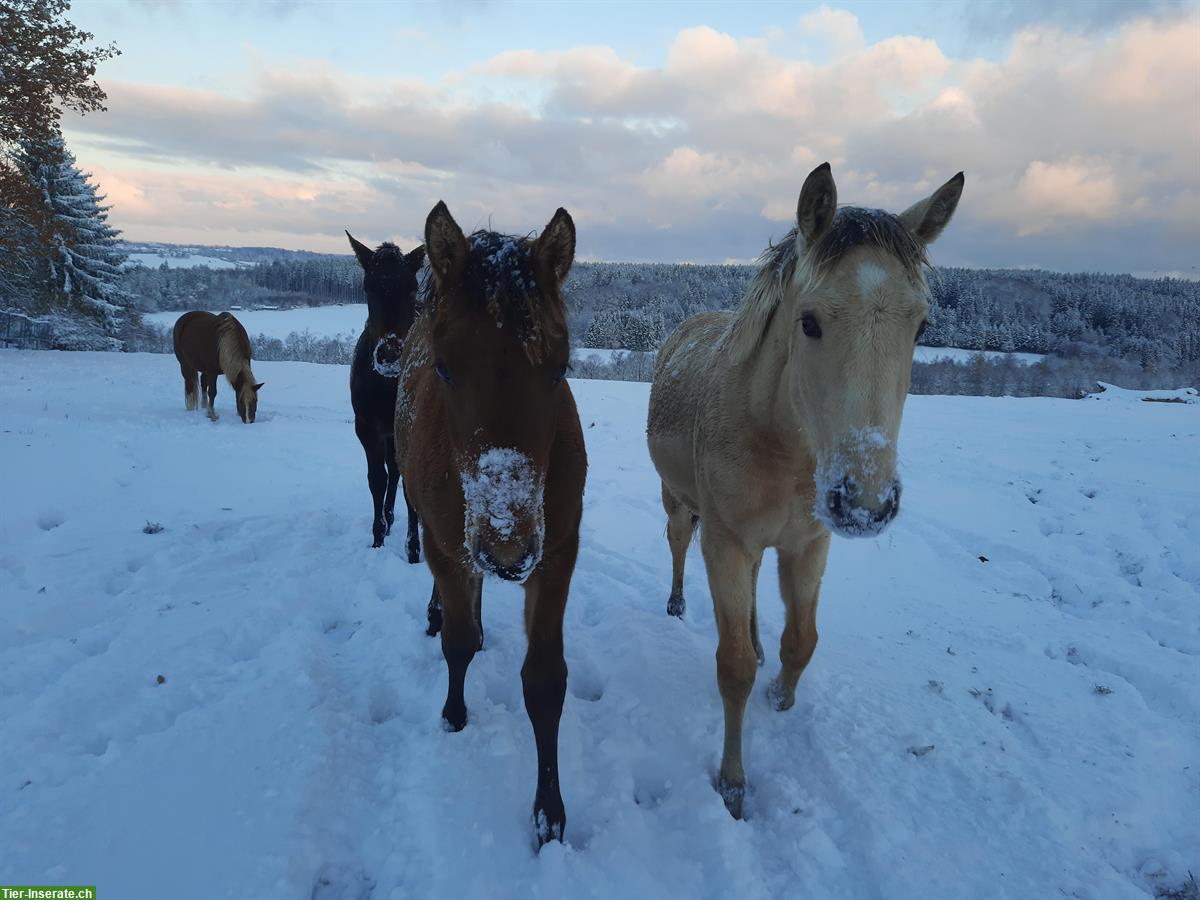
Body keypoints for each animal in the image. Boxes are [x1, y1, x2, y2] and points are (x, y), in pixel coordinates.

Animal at [396, 200, 588, 849]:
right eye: (446, 369)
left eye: (560, 368)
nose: (506, 548)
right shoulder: (446, 546)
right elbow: (456, 642)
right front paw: (454, 715)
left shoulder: (555, 556)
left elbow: (546, 683)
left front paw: (550, 812)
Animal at [648, 160, 964, 816]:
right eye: (810, 320)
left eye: (922, 325)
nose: (866, 504)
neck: (782, 445)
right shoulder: (726, 544)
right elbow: (733, 668)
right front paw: (733, 785)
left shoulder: (808, 545)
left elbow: (801, 641)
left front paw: (782, 696)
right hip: (679, 506)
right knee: (676, 546)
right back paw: (676, 603)